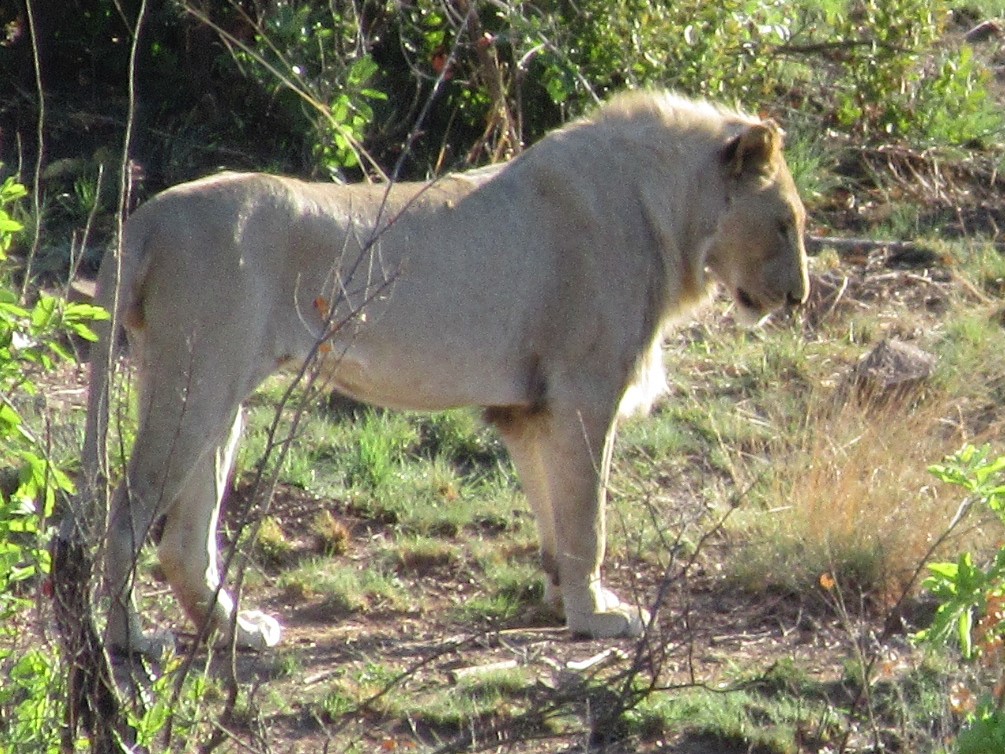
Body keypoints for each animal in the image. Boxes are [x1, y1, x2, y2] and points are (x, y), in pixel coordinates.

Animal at [80, 90, 809, 655]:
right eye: (785, 224)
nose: (799, 297)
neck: (671, 213)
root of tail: (144, 219)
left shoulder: (529, 410)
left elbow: (553, 516)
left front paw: (561, 603)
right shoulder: (585, 392)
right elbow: (587, 520)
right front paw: (598, 617)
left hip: (217, 397)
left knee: (183, 543)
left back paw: (238, 633)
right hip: (195, 384)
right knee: (124, 519)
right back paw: (129, 639)